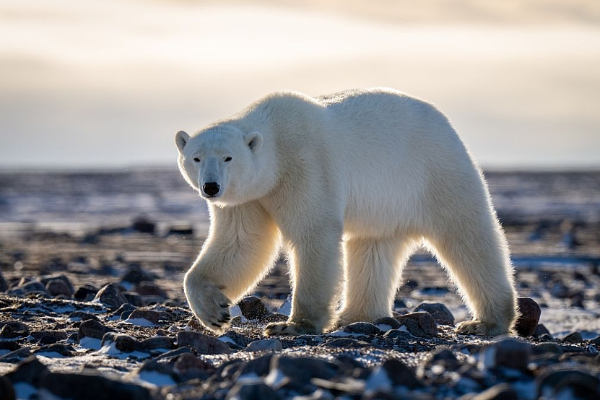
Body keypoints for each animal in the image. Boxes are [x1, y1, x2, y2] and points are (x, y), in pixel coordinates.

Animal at [176, 88, 516, 338]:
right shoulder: (249, 198)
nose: (211, 187)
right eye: (196, 157)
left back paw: (486, 321)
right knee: (372, 248)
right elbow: (241, 243)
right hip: (385, 206)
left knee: (467, 236)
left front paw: (292, 325)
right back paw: (355, 315)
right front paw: (215, 312)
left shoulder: (305, 166)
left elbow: (314, 233)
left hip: (434, 172)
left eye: (228, 157)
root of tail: (446, 124)